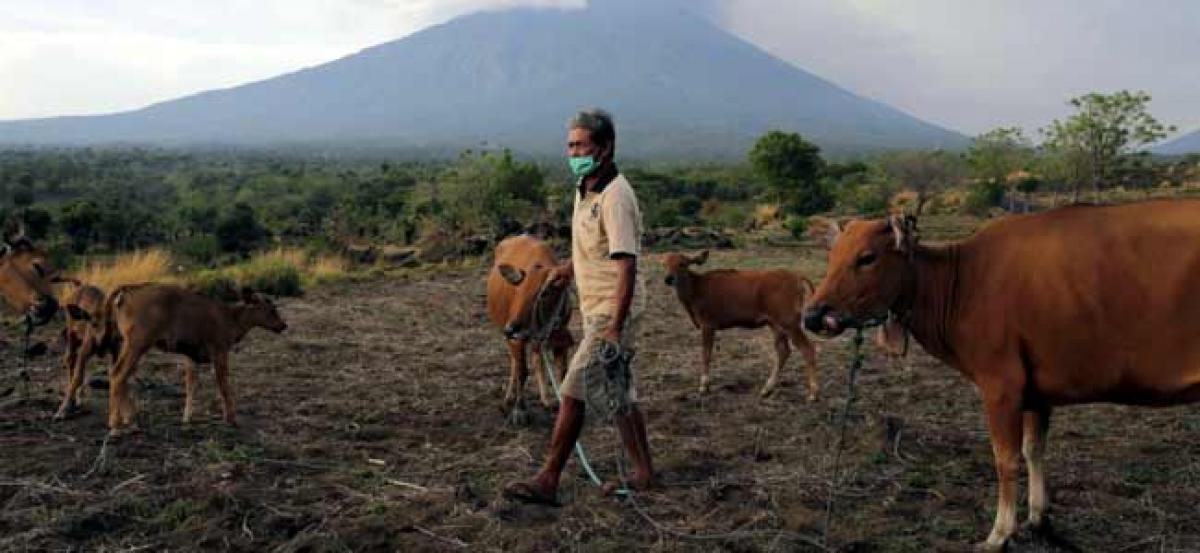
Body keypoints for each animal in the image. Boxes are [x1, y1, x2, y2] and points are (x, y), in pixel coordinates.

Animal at [75, 284, 290, 434]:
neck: (229, 317)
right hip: (137, 344)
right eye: (271, 309)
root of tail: (126, 291)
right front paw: (231, 418)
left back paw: (128, 419)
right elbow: (223, 385)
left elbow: (191, 385)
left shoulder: (190, 356)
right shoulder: (219, 350)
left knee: (121, 375)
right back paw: (115, 423)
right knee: (119, 374)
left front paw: (187, 419)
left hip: (127, 344)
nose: (283, 325)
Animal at [484, 233, 573, 422]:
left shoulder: (560, 339)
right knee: (516, 362)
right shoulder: (517, 338)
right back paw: (509, 399)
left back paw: (546, 399)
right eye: (518, 291)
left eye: (544, 293)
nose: (510, 328)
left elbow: (562, 373)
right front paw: (520, 410)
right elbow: (522, 371)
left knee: (536, 357)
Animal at [662, 251, 820, 398]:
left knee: (808, 348)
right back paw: (767, 389)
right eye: (664, 264)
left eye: (682, 264)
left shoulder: (708, 323)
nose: (669, 278)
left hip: (789, 320)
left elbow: (706, 354)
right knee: (784, 350)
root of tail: (798, 279)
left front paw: (704, 386)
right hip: (775, 324)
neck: (695, 292)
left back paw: (813, 393)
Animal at [801, 200, 1200, 549]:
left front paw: (1000, 533)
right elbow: (1033, 450)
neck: (961, 283)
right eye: (832, 256)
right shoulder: (1037, 392)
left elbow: (1005, 459)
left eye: (867, 257)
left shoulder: (1001, 387)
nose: (814, 315)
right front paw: (1038, 518)